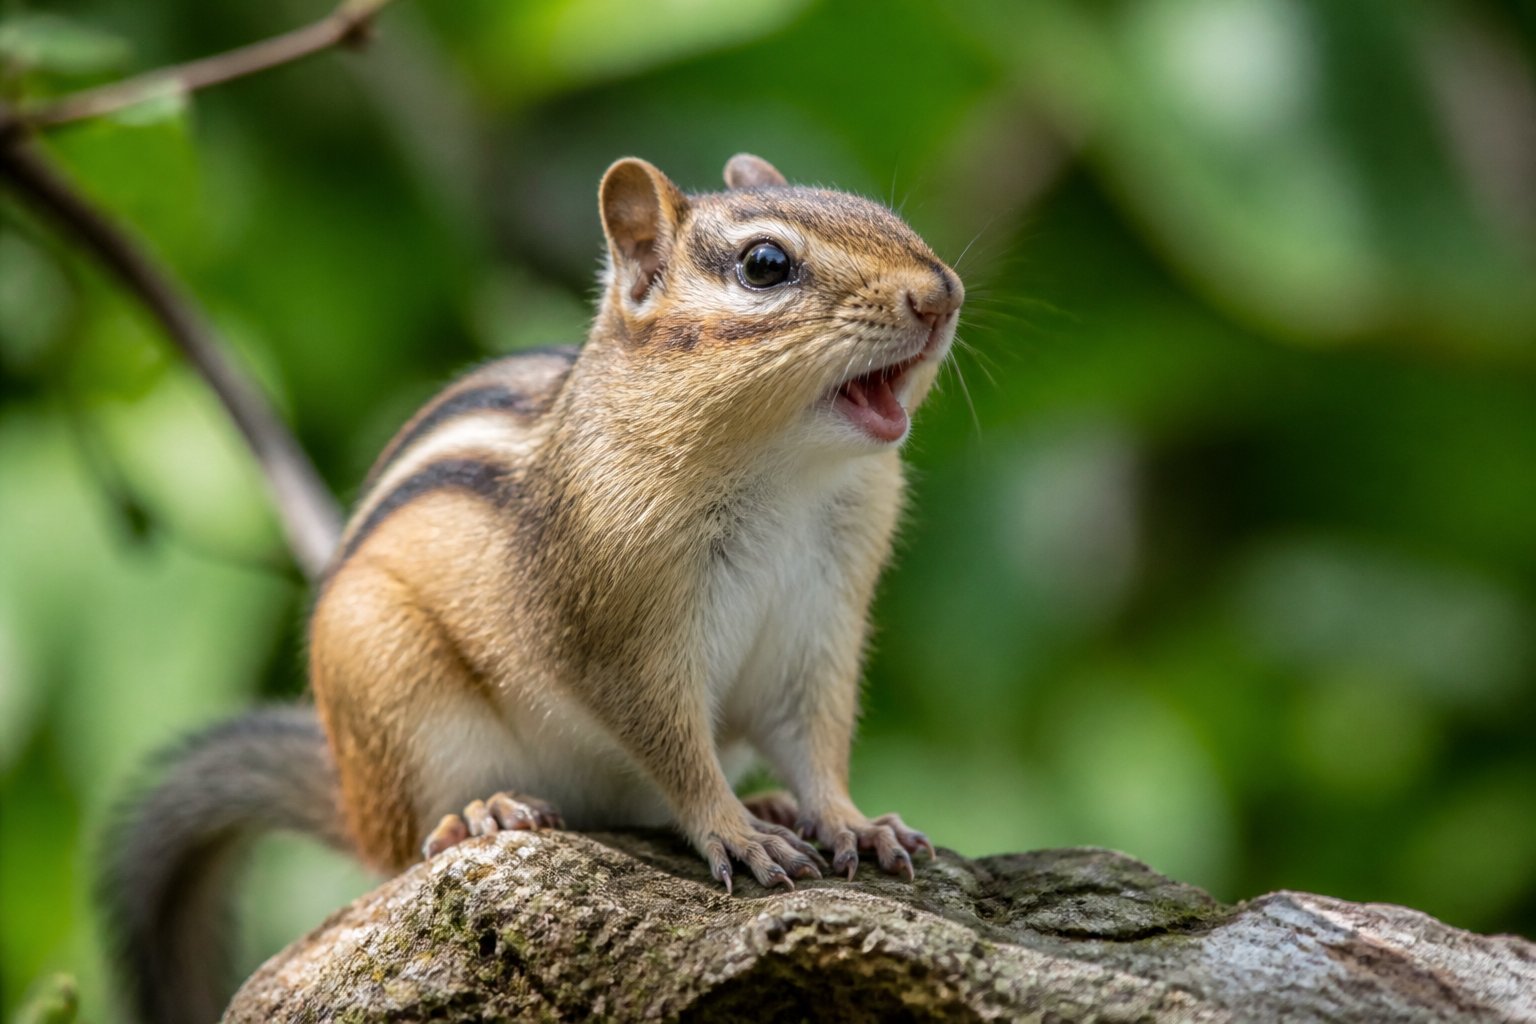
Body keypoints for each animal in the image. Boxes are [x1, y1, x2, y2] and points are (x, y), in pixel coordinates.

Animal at [102, 153, 964, 1024]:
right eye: (765, 265)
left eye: (880, 213)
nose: (942, 294)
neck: (788, 474)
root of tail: (346, 791)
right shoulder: (616, 633)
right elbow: (672, 744)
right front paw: (733, 829)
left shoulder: (821, 621)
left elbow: (815, 740)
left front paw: (850, 822)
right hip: (387, 679)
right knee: (404, 845)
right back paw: (482, 813)